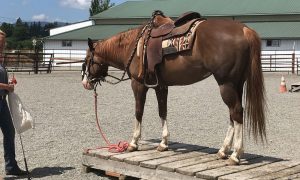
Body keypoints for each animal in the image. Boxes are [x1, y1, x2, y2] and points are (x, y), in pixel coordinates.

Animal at [81, 11, 264, 165]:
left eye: (88, 59)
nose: (85, 82)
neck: (134, 45)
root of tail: (244, 29)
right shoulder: (160, 86)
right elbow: (163, 111)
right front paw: (163, 143)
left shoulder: (138, 85)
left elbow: (138, 112)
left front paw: (133, 143)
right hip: (236, 84)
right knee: (233, 115)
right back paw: (223, 151)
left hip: (226, 84)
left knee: (236, 112)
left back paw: (235, 154)